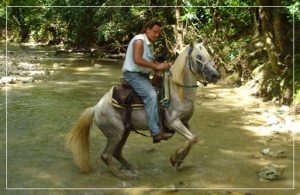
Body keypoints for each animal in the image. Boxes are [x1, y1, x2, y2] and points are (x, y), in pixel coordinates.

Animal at [65, 42, 218, 178]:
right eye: (198, 57)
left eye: (208, 54)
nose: (215, 75)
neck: (178, 91)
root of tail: (96, 108)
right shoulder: (173, 122)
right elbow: (192, 139)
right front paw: (174, 158)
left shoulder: (184, 122)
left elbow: (193, 138)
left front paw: (178, 160)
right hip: (115, 133)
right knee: (106, 155)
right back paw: (122, 175)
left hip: (124, 131)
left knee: (116, 153)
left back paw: (132, 168)